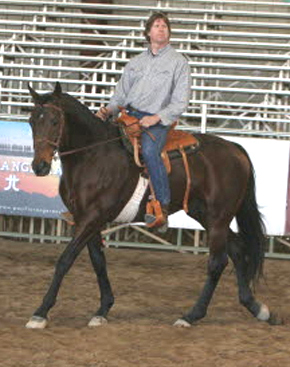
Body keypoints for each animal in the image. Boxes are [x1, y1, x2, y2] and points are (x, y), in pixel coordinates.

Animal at [26, 83, 278, 330]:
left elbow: (65, 260)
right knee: (236, 250)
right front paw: (103, 309)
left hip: (218, 217)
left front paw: (40, 313)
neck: (93, 155)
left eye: (54, 121)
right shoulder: (85, 219)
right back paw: (257, 308)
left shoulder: (92, 217)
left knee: (217, 262)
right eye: (31, 121)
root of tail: (235, 149)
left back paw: (191, 315)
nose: (39, 166)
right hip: (205, 214)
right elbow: (98, 261)